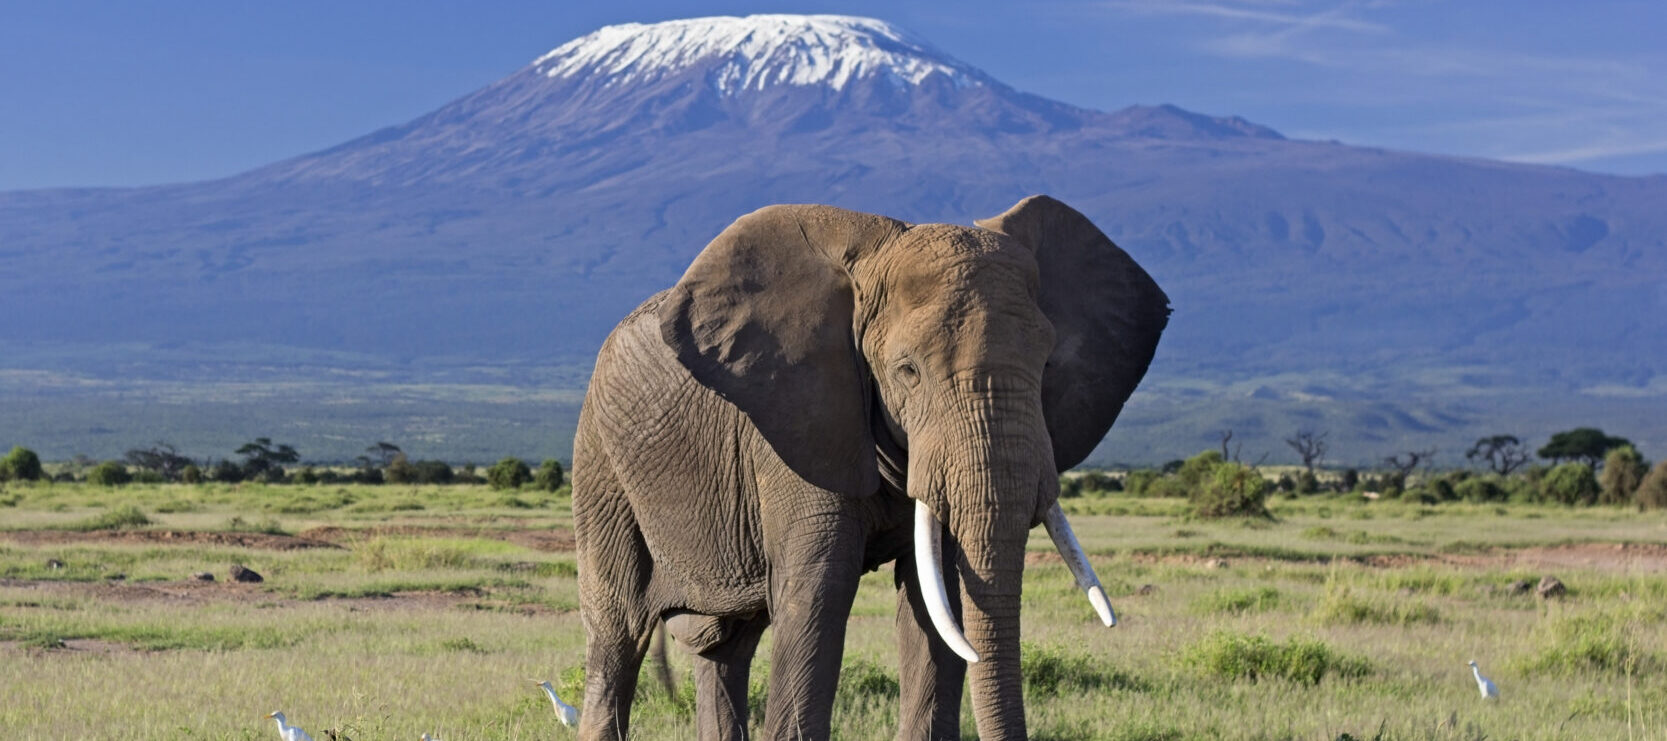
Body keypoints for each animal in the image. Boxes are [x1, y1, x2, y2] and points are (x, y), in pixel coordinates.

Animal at [570, 194, 1169, 740]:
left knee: (726, 647)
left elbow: (938, 598)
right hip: (599, 463)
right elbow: (819, 594)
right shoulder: (796, 426)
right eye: (907, 371)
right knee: (617, 633)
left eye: (1046, 364)